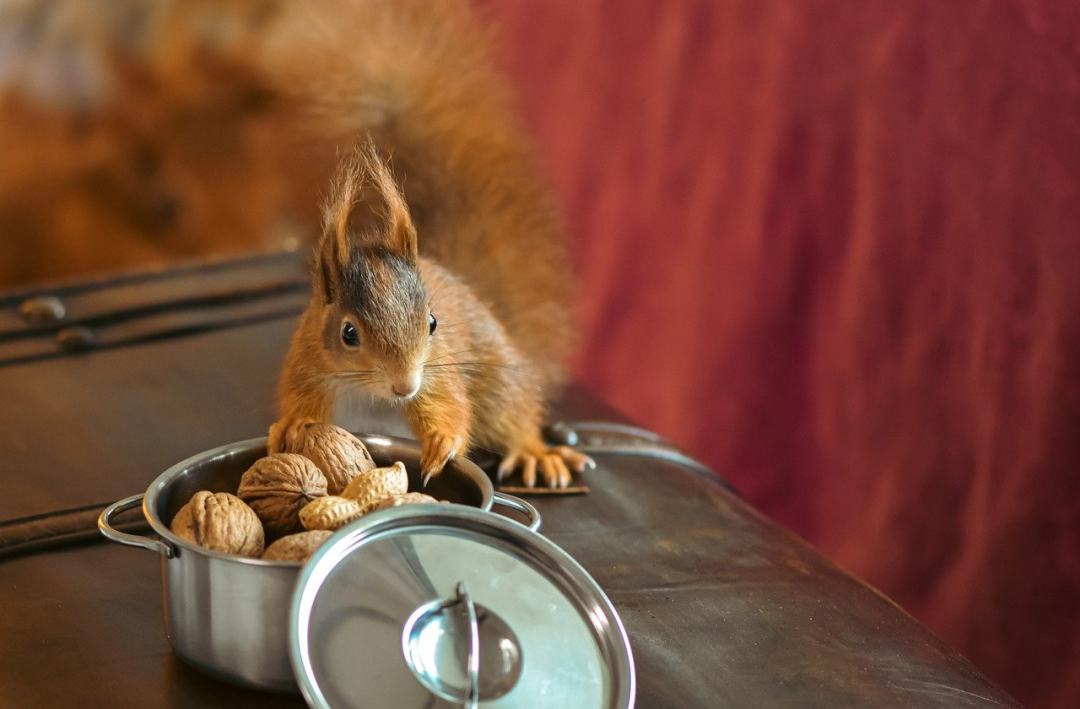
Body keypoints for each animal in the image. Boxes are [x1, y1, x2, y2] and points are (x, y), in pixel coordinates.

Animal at [265, 1, 596, 488]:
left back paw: (536, 452)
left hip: (497, 381)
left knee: (514, 414)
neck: (372, 393)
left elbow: (449, 408)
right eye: (348, 334)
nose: (405, 386)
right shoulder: (308, 365)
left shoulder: (438, 374)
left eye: (433, 323)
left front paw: (442, 441)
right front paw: (290, 424)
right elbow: (299, 402)